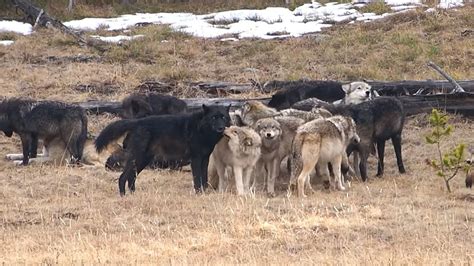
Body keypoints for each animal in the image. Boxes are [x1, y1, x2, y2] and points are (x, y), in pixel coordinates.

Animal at [95, 104, 231, 195]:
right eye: (214, 117)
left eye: (223, 117)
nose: (221, 128)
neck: (201, 129)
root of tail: (136, 121)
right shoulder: (196, 159)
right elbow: (197, 179)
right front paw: (199, 194)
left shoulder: (205, 159)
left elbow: (204, 178)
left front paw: (205, 193)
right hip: (137, 159)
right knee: (123, 177)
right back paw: (123, 196)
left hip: (142, 161)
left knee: (131, 177)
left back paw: (134, 195)